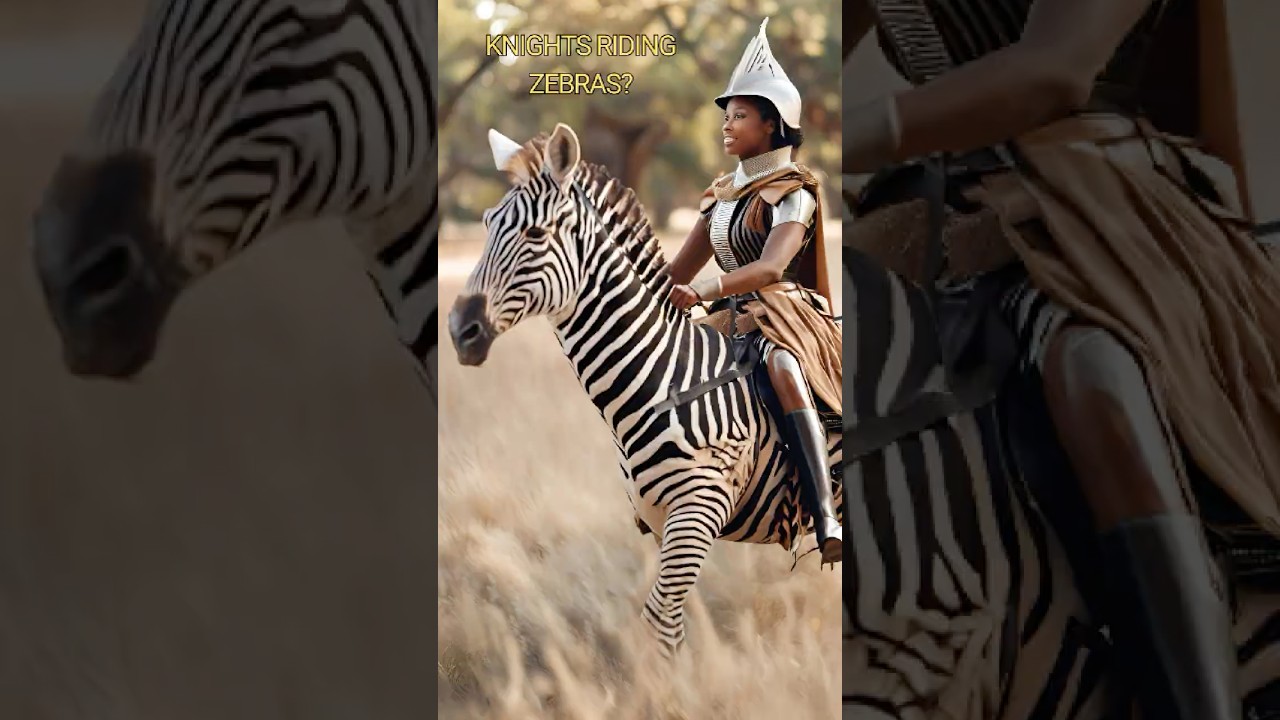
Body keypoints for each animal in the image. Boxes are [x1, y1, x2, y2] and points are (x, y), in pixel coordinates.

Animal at [447, 123, 843, 655]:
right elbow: (670, 625)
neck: (662, 381)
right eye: (487, 223)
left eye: (536, 234)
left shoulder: (697, 510)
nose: (459, 330)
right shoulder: (661, 520)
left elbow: (657, 619)